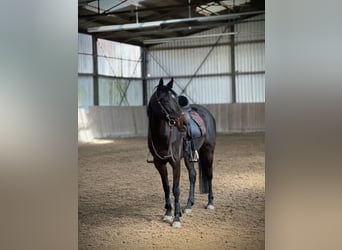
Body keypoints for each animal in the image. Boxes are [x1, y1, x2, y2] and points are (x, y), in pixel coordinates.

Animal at [147, 79, 216, 228]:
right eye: (165, 100)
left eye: (176, 100)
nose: (184, 123)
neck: (164, 136)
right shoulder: (159, 164)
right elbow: (166, 187)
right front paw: (168, 213)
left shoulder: (176, 163)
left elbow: (175, 189)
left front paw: (177, 218)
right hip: (188, 157)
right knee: (193, 176)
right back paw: (189, 205)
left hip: (208, 151)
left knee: (209, 175)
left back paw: (210, 203)